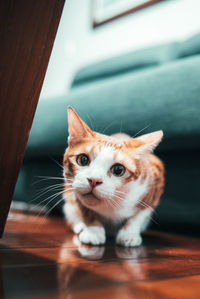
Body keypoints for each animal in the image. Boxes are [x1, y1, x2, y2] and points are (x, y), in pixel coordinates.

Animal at [62, 106, 164, 247]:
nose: (94, 180)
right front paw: (93, 231)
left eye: (118, 169)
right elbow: (84, 207)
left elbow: (140, 215)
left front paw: (129, 234)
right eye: (82, 159)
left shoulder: (154, 181)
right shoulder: (72, 187)